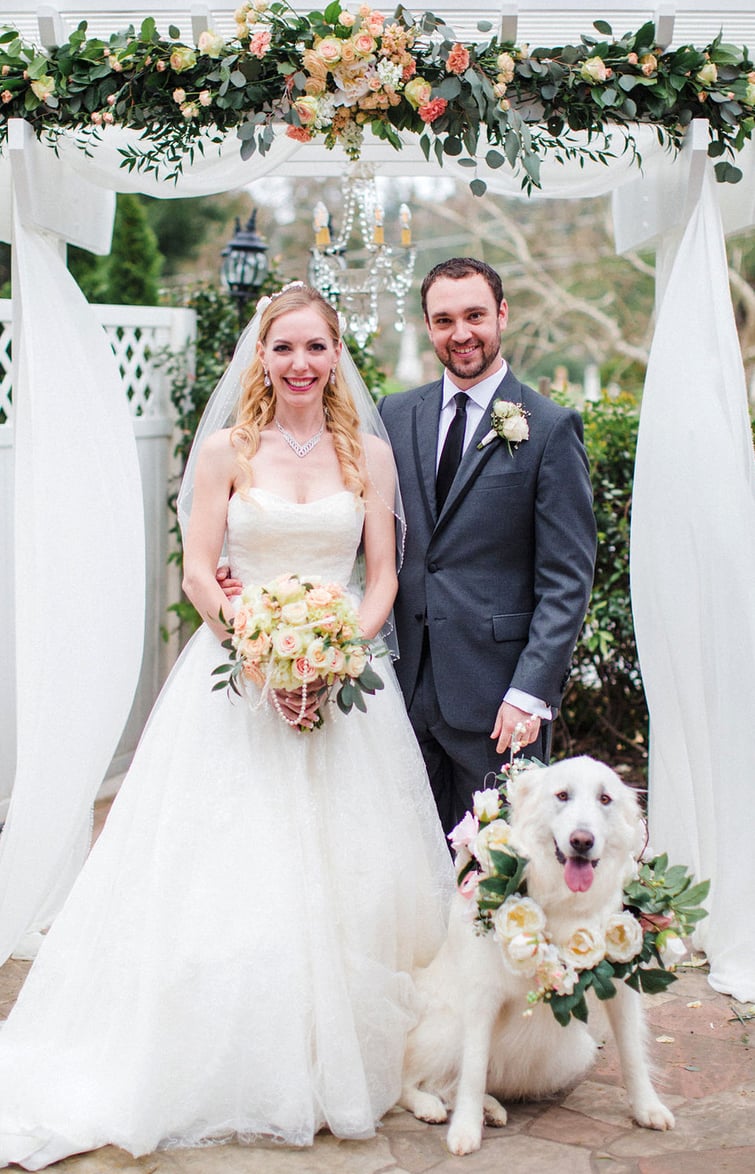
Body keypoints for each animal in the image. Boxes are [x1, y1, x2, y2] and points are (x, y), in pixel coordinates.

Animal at [399, 760, 676, 1155]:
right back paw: (431, 1107)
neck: (563, 901)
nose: (582, 841)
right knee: (407, 1083)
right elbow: (473, 1069)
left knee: (448, 1082)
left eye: (605, 799)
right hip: (448, 1028)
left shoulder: (622, 990)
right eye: (562, 795)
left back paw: (488, 1108)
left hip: (575, 1052)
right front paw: (464, 1130)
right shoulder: (482, 998)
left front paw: (647, 1108)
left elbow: (633, 1054)